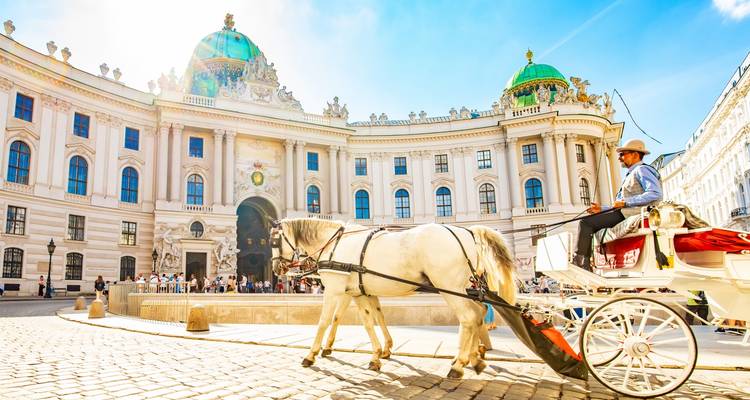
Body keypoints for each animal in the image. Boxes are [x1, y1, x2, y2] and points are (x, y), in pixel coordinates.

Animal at [271, 218, 516, 378]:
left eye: (274, 241)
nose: (276, 269)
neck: (335, 244)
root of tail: (466, 232)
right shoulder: (359, 292)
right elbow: (371, 321)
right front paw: (379, 354)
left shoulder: (334, 290)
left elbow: (324, 321)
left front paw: (311, 354)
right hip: (464, 288)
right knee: (479, 313)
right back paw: (473, 358)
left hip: (449, 287)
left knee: (469, 317)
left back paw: (459, 365)